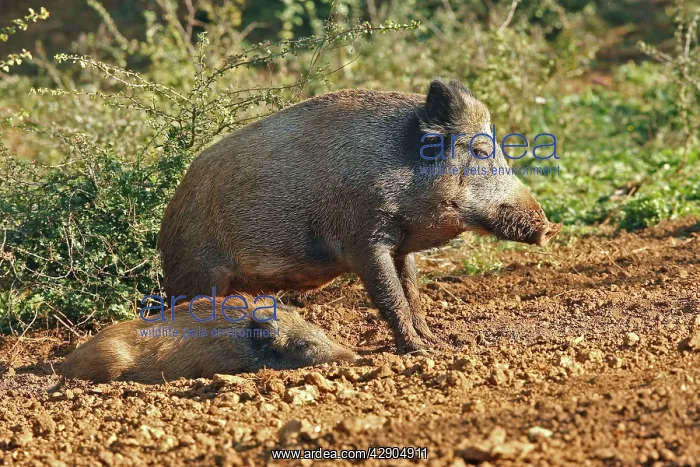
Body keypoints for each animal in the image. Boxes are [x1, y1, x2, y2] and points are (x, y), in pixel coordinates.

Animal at [157, 78, 561, 353]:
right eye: (479, 150)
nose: (549, 228)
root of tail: (169, 215)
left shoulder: (400, 246)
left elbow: (413, 292)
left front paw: (436, 341)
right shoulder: (364, 240)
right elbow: (390, 297)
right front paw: (419, 351)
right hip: (196, 272)